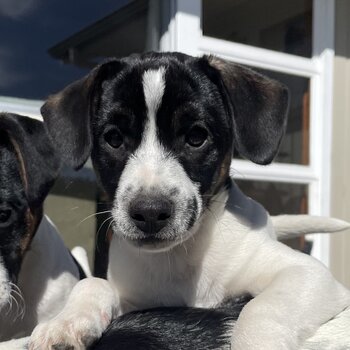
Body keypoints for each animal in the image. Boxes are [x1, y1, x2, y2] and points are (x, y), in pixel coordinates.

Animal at [29, 52, 350, 350]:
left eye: (196, 136)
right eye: (114, 138)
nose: (149, 212)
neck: (181, 258)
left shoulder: (307, 275)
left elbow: (260, 309)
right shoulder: (139, 304)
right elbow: (92, 282)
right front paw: (66, 322)